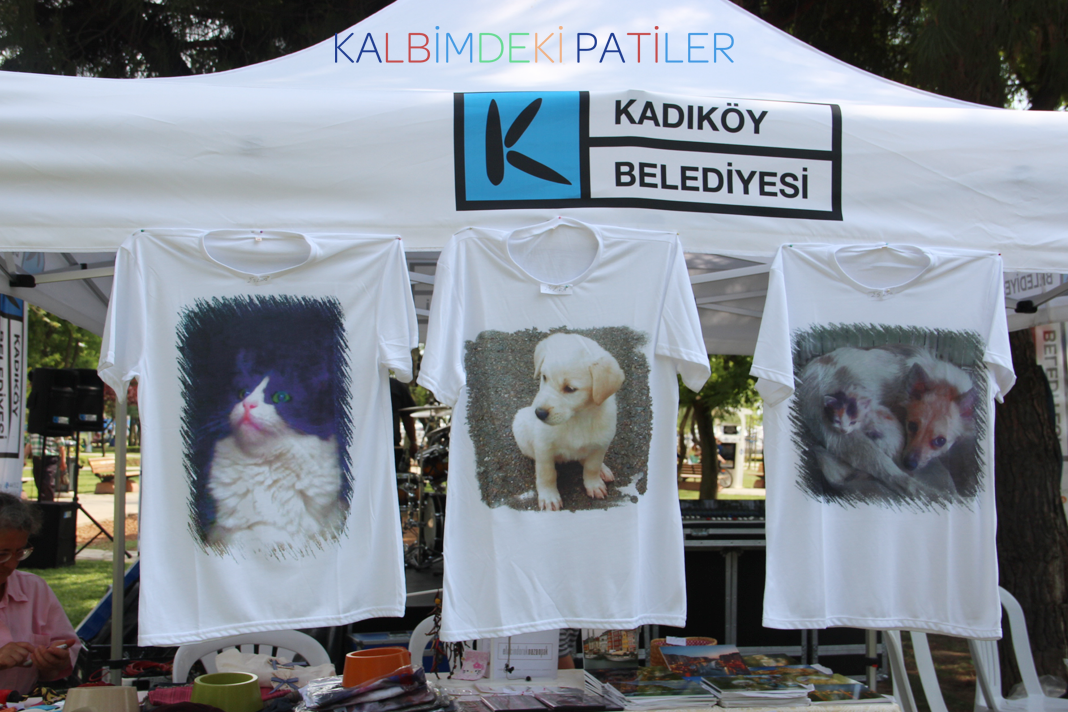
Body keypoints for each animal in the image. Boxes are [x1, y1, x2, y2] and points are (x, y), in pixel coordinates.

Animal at [206, 370, 345, 555]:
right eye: (243, 393)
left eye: (280, 397)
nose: (247, 404)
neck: (266, 468)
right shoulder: (223, 532)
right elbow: (251, 538)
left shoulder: (331, 521)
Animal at [512, 333, 625, 511]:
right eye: (544, 377)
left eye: (570, 389)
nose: (539, 413)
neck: (576, 419)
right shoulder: (544, 447)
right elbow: (547, 474)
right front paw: (549, 497)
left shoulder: (601, 444)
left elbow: (592, 467)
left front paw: (594, 484)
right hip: (521, 424)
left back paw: (603, 470)